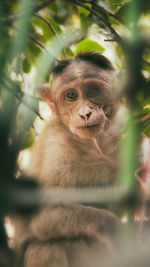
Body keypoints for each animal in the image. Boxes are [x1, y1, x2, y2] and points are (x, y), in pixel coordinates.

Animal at [13, 51, 125, 267]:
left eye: (93, 91)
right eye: (71, 95)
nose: (85, 113)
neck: (93, 143)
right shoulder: (56, 147)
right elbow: (45, 216)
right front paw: (112, 228)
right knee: (50, 248)